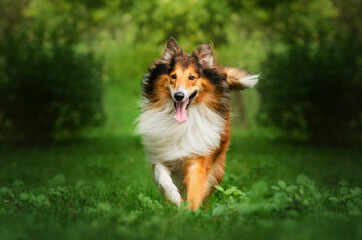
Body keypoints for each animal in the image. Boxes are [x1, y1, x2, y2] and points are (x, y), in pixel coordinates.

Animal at [136, 37, 258, 210]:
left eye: (192, 77)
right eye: (173, 76)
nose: (179, 95)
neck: (182, 123)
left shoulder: (198, 157)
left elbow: (195, 187)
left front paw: (190, 212)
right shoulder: (161, 153)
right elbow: (162, 177)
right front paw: (174, 198)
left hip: (218, 168)